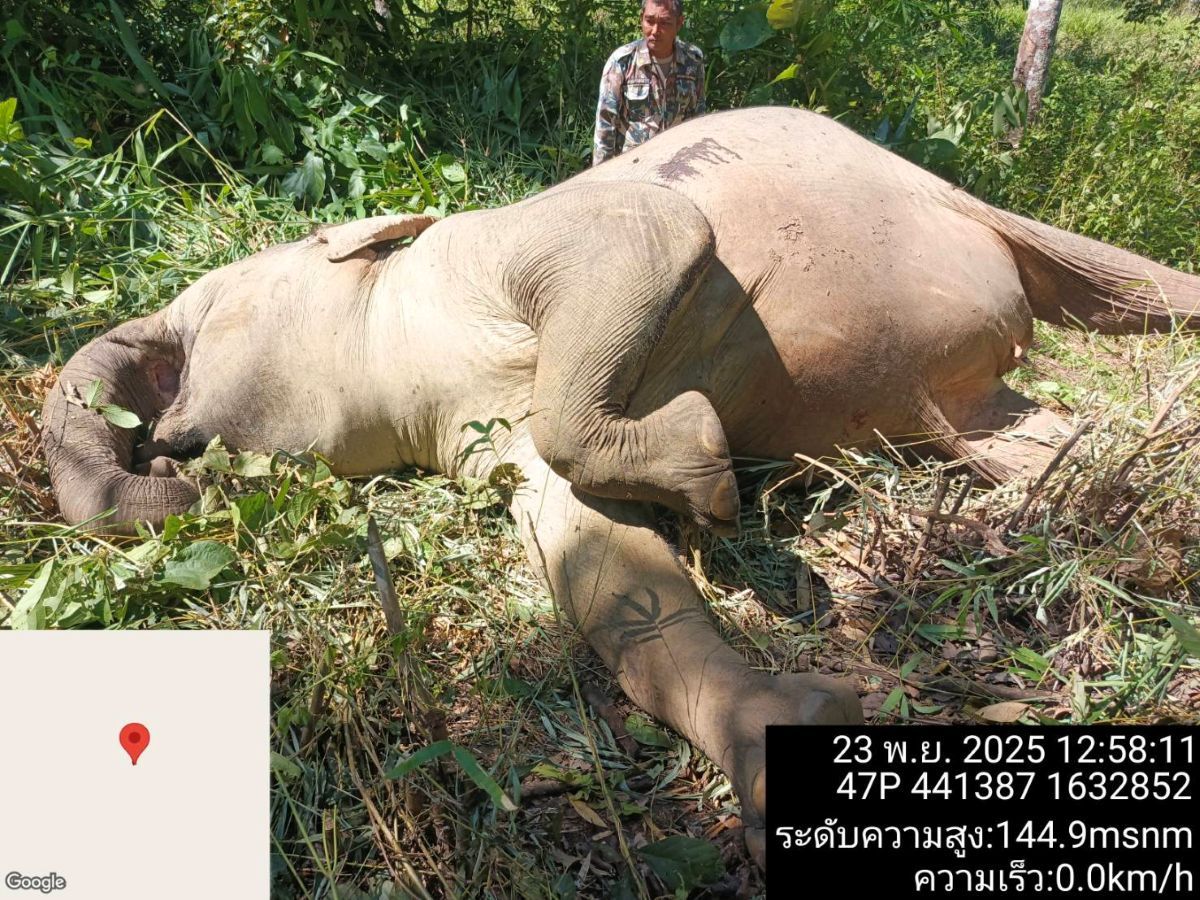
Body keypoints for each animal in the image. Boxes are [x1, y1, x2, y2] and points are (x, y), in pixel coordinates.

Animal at [41, 107, 1199, 866]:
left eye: (201, 311)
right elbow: (597, 559)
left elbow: (646, 236)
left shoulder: (496, 244)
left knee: (1123, 279)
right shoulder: (472, 427)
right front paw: (781, 733)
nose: (155, 451)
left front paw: (708, 469)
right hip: (975, 388)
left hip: (956, 200)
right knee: (1029, 435)